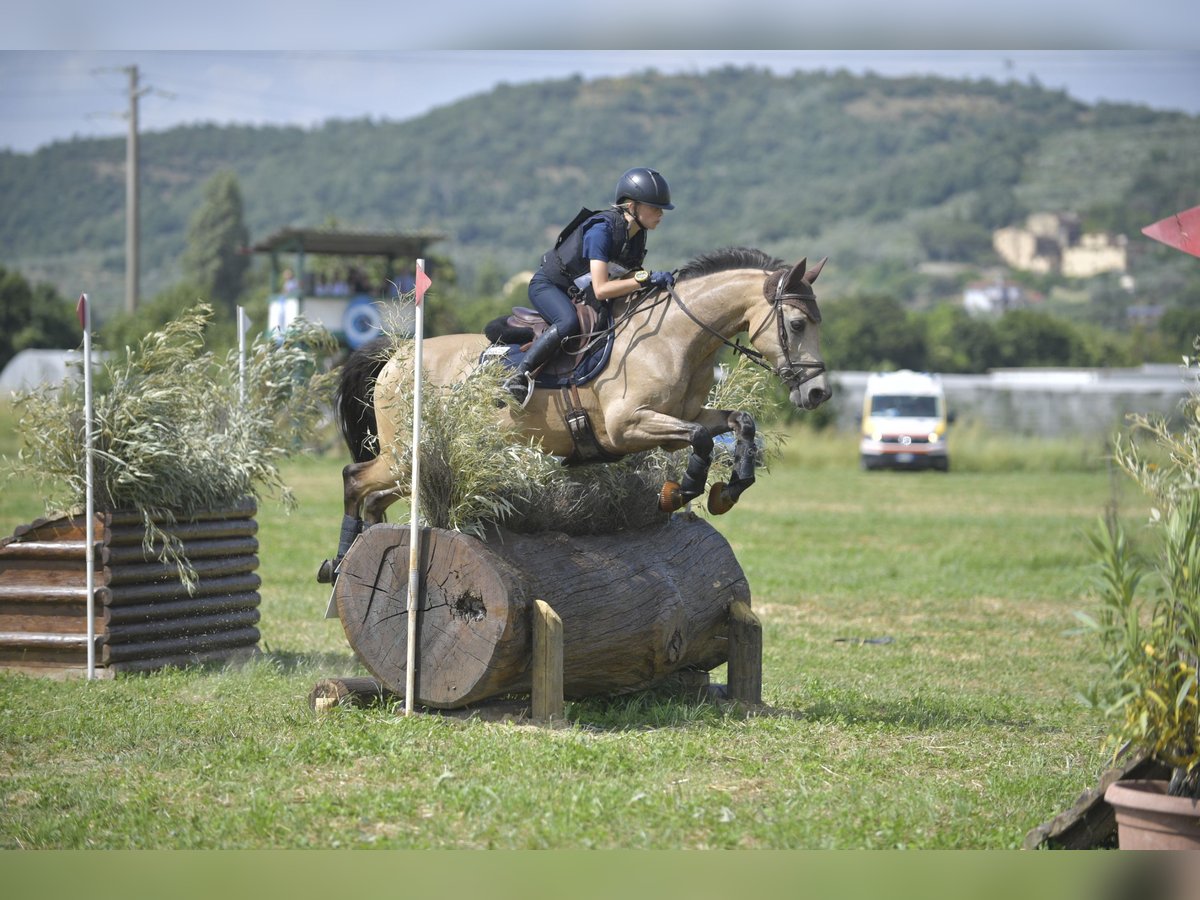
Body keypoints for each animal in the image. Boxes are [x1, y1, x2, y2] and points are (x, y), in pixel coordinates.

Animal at [320, 247, 830, 581]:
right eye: (796, 324)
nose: (819, 392)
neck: (674, 339)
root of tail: (398, 356)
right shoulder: (629, 426)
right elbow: (701, 442)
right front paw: (678, 492)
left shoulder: (680, 419)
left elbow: (738, 424)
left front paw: (729, 490)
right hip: (407, 455)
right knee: (354, 479)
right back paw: (339, 563)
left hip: (415, 464)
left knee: (374, 497)